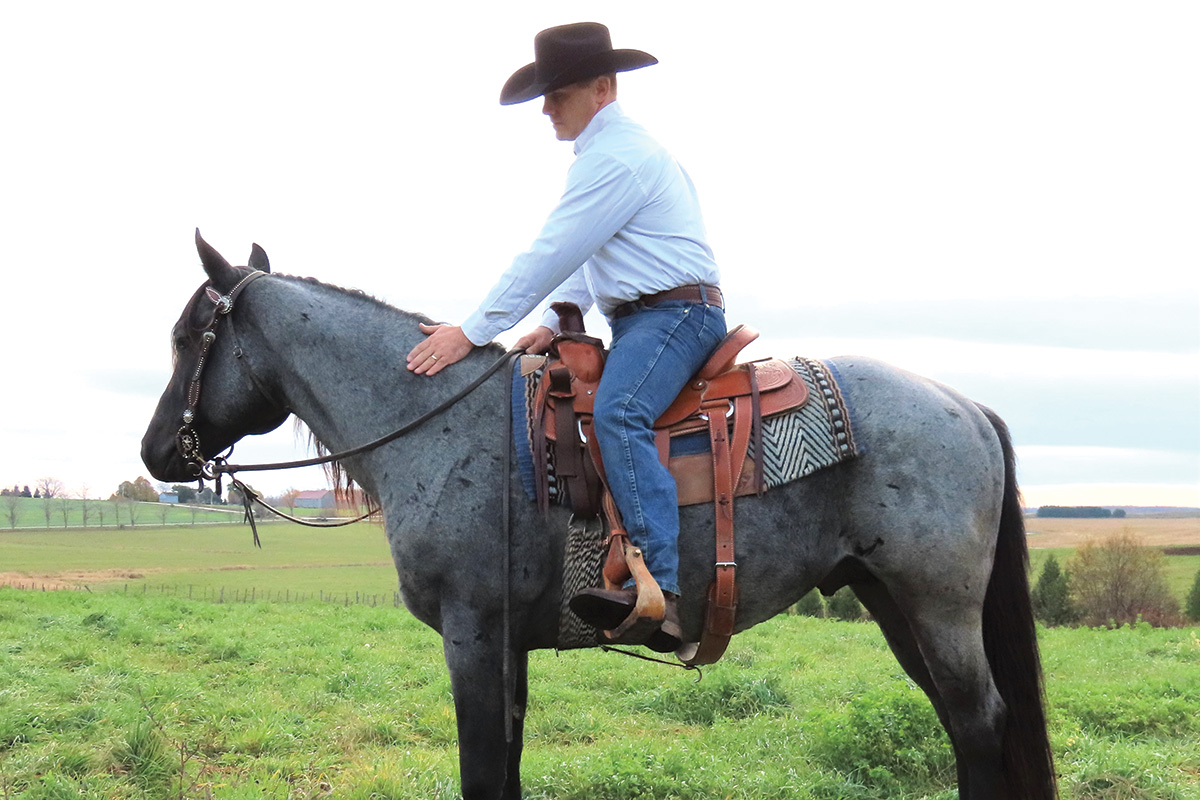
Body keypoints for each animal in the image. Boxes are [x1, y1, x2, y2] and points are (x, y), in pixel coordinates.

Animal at [140, 232, 1056, 800]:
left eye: (188, 336)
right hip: (893, 601)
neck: (438, 422)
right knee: (964, 721)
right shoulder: (507, 642)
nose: (156, 454)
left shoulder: (473, 633)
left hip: (936, 604)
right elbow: (506, 766)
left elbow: (482, 770)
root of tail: (967, 407)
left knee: (979, 723)